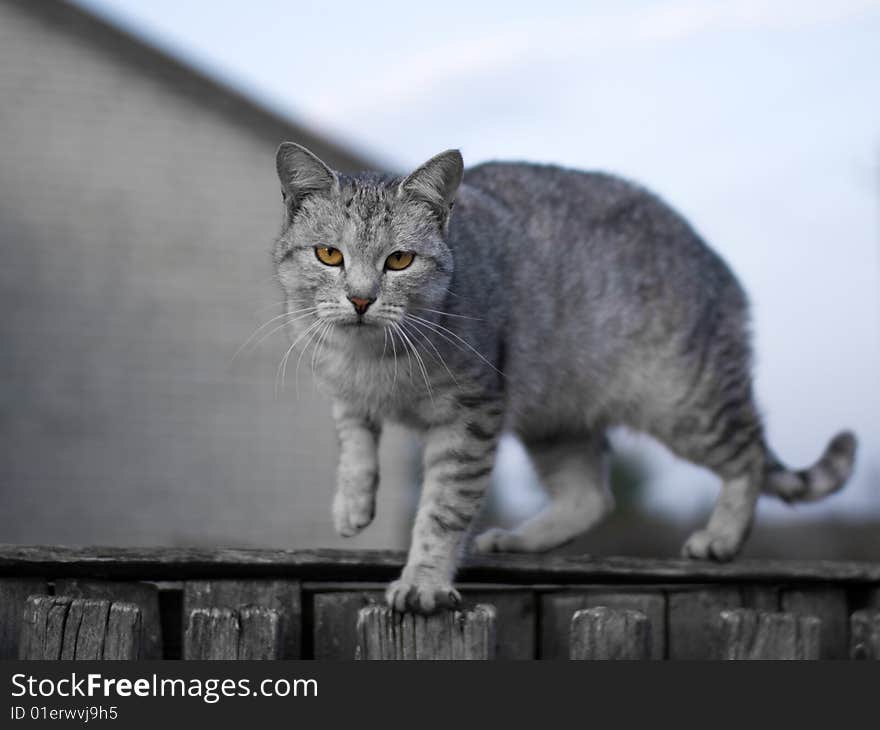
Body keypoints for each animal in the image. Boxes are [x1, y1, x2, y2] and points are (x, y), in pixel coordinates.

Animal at [272, 141, 856, 608]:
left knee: (749, 456)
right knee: (590, 496)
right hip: (556, 420)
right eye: (329, 254)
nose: (361, 299)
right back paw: (518, 540)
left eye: (399, 261)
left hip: (687, 403)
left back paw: (722, 537)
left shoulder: (471, 414)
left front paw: (424, 581)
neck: (371, 358)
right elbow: (354, 446)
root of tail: (718, 263)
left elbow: (443, 509)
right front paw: (351, 505)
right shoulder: (345, 392)